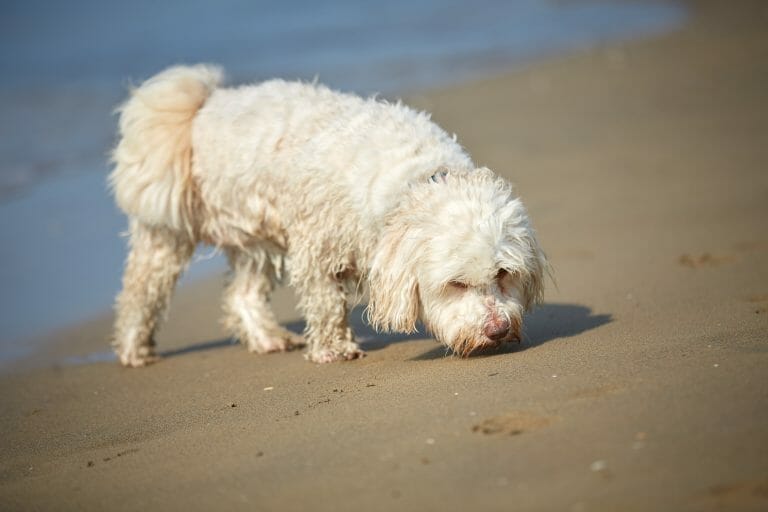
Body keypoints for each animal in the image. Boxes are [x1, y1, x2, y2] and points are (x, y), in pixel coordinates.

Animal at [112, 66, 544, 366]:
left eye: (503, 273)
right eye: (455, 284)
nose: (497, 330)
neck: (415, 180)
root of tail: (204, 106)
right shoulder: (317, 244)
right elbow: (325, 302)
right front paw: (334, 349)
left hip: (255, 240)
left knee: (242, 293)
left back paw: (267, 338)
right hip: (165, 233)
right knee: (140, 291)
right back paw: (135, 350)